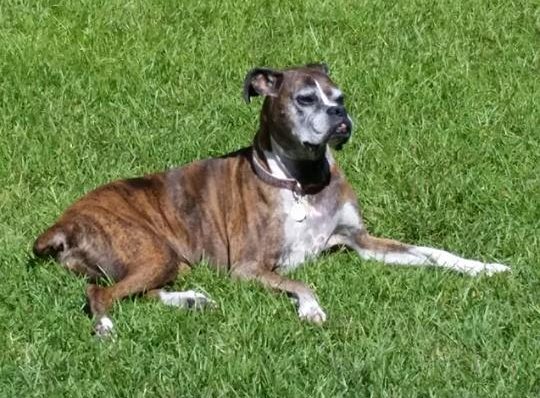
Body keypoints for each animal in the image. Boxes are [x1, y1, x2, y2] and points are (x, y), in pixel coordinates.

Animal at [34, 63, 510, 336]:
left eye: (340, 98)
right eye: (306, 99)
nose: (340, 114)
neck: (302, 182)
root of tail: (62, 223)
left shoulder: (363, 242)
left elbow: (433, 253)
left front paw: (483, 267)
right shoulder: (249, 268)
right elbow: (302, 283)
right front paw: (312, 310)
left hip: (169, 260)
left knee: (138, 292)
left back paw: (189, 300)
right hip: (152, 252)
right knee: (101, 294)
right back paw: (106, 326)